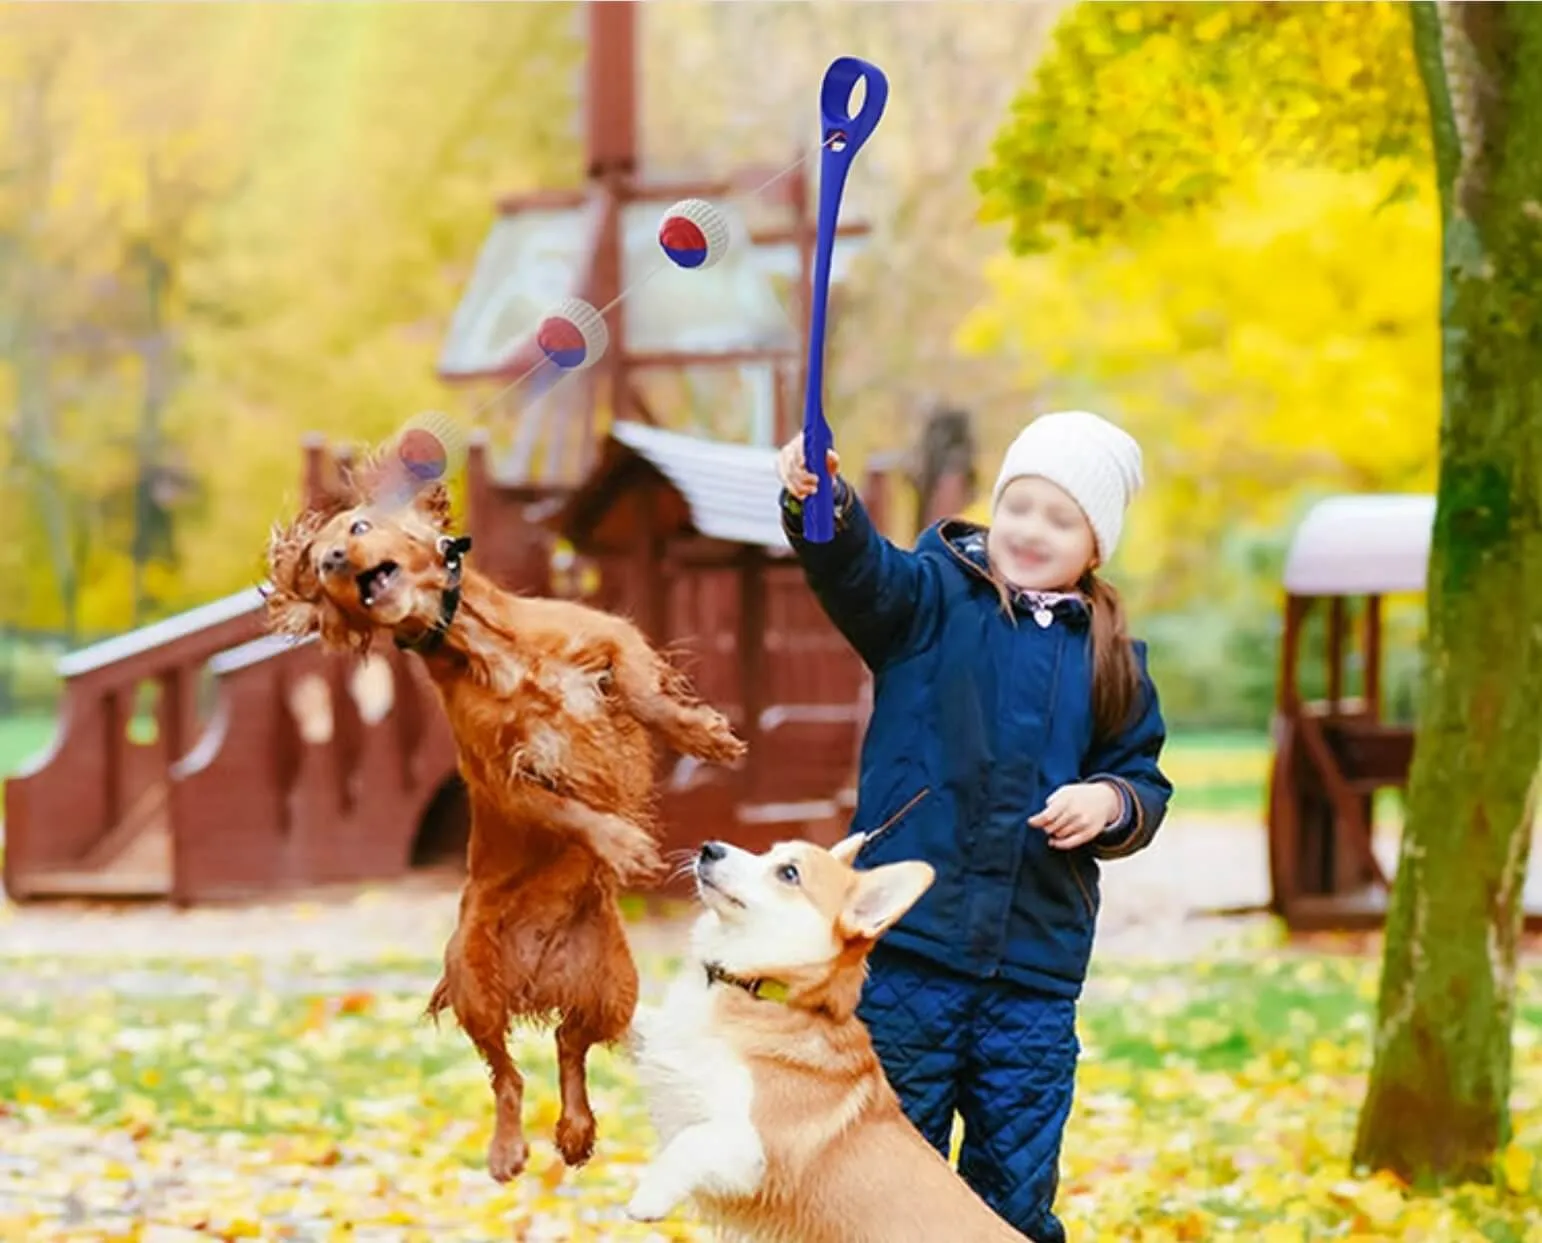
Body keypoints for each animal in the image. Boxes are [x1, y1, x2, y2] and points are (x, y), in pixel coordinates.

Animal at [265, 459, 746, 1190]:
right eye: (321, 563)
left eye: (357, 528)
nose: (336, 559)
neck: (488, 647)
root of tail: (537, 975)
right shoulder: (502, 775)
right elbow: (570, 809)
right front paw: (622, 843)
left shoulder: (610, 636)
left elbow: (640, 690)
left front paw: (702, 734)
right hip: (474, 980)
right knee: (507, 1074)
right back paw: (508, 1148)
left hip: (614, 984)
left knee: (569, 1046)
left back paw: (575, 1131)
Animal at [626, 832, 1023, 1239]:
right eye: (767, 852)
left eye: (789, 873)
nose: (710, 848)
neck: (761, 991)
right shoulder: (665, 1046)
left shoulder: (753, 1152)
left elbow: (690, 1143)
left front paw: (650, 1196)